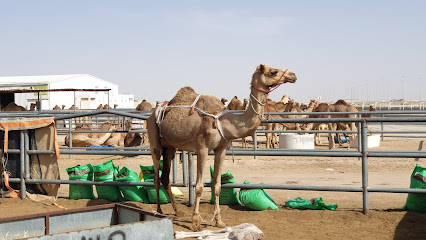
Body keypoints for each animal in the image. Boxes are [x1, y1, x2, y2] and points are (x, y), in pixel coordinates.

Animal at [147, 64, 296, 231]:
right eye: (272, 72)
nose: (293, 75)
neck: (222, 121)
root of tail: (154, 112)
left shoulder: (221, 149)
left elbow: (217, 185)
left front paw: (219, 221)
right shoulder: (202, 148)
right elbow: (199, 187)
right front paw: (196, 221)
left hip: (170, 147)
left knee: (165, 176)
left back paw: (177, 211)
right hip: (154, 139)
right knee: (156, 176)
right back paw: (159, 211)